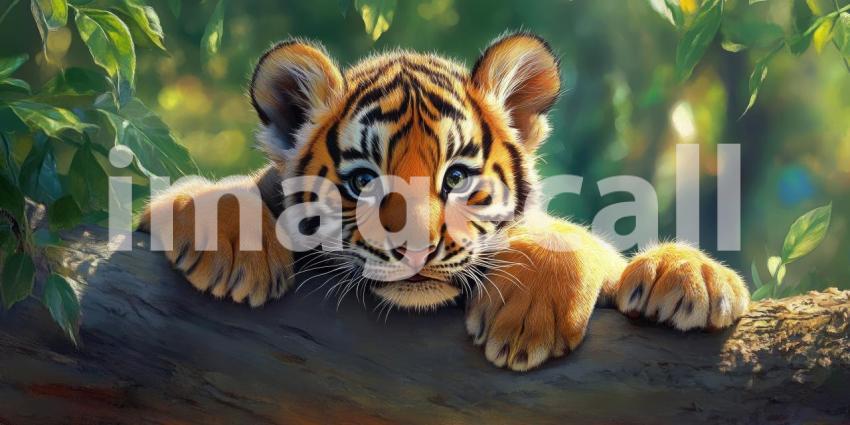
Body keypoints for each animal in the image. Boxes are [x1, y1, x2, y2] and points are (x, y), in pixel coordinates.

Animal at [140, 33, 750, 371]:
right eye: (363, 182)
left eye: (455, 178)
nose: (415, 250)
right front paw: (231, 251)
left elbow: (575, 237)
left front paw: (688, 276)